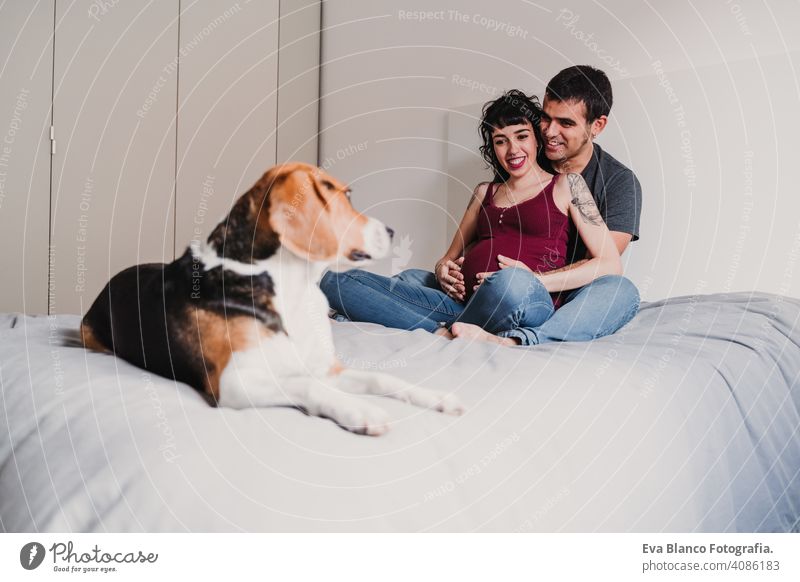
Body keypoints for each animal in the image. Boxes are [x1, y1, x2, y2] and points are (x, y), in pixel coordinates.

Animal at [81, 162, 462, 436]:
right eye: (347, 195)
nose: (392, 231)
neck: (293, 287)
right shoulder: (235, 382)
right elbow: (308, 386)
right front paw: (360, 409)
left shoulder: (327, 369)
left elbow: (383, 379)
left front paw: (439, 398)